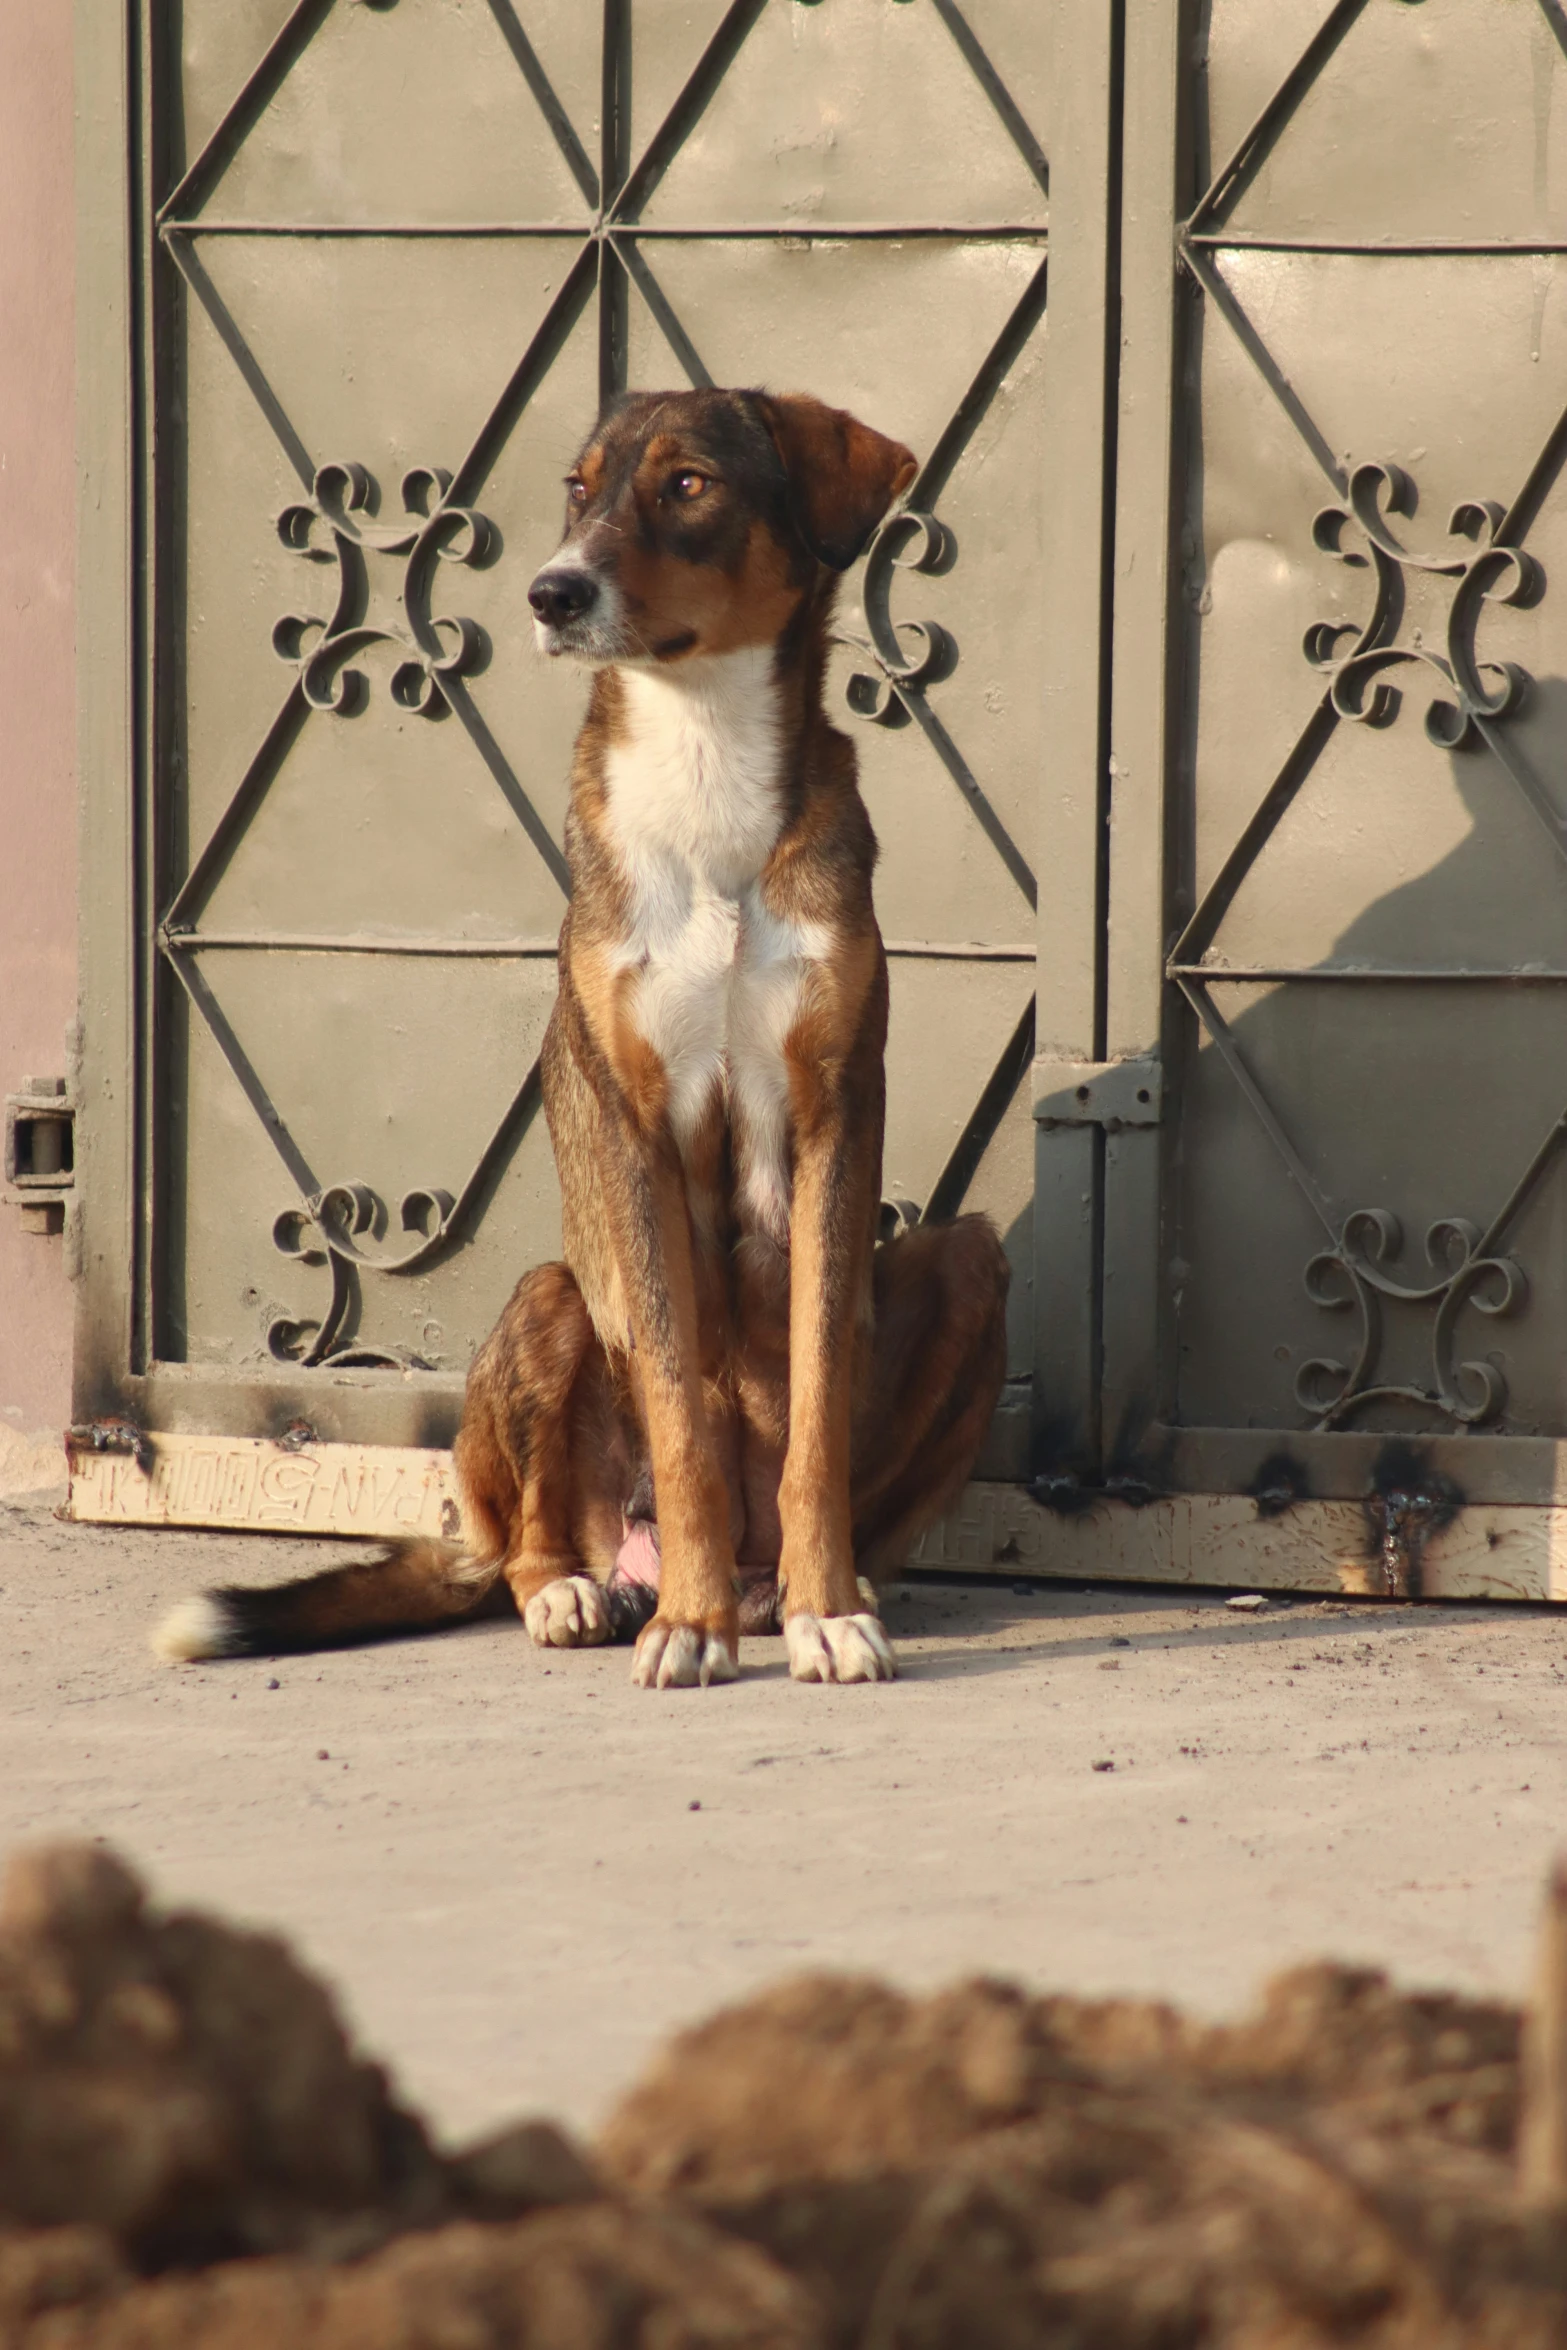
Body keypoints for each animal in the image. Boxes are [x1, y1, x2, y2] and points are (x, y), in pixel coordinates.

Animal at [159, 390, 1010, 1691]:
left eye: (690, 484)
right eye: (577, 487)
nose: (551, 592)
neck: (704, 754)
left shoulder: (831, 1113)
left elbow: (814, 1416)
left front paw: (825, 1613)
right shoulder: (633, 1131)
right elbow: (680, 1413)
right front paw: (690, 1630)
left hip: (971, 1259)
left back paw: (802, 1591)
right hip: (551, 1297)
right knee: (520, 1543)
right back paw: (590, 1591)